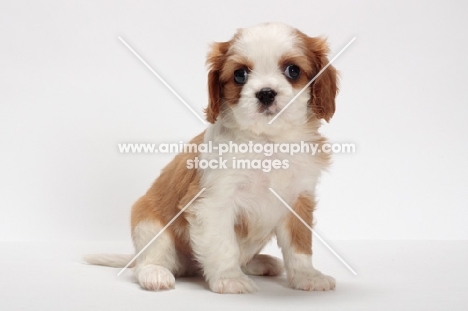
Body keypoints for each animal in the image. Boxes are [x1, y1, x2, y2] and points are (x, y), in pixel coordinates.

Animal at [84, 22, 338, 294]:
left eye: (293, 70)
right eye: (240, 75)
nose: (266, 93)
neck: (268, 142)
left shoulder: (299, 199)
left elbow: (299, 247)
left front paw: (307, 277)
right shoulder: (213, 203)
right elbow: (224, 245)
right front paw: (230, 278)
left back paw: (259, 262)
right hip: (148, 222)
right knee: (149, 260)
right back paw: (155, 273)